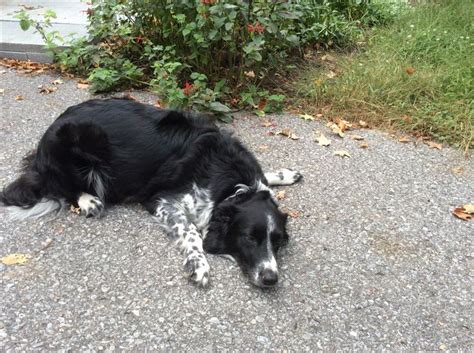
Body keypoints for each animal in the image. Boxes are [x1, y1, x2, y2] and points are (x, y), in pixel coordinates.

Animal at [0, 96, 304, 286]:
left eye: (277, 241)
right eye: (249, 238)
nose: (271, 279)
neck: (234, 186)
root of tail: (41, 148)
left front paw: (283, 174)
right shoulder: (161, 199)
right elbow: (191, 231)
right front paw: (199, 264)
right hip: (77, 142)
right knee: (58, 186)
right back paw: (88, 201)